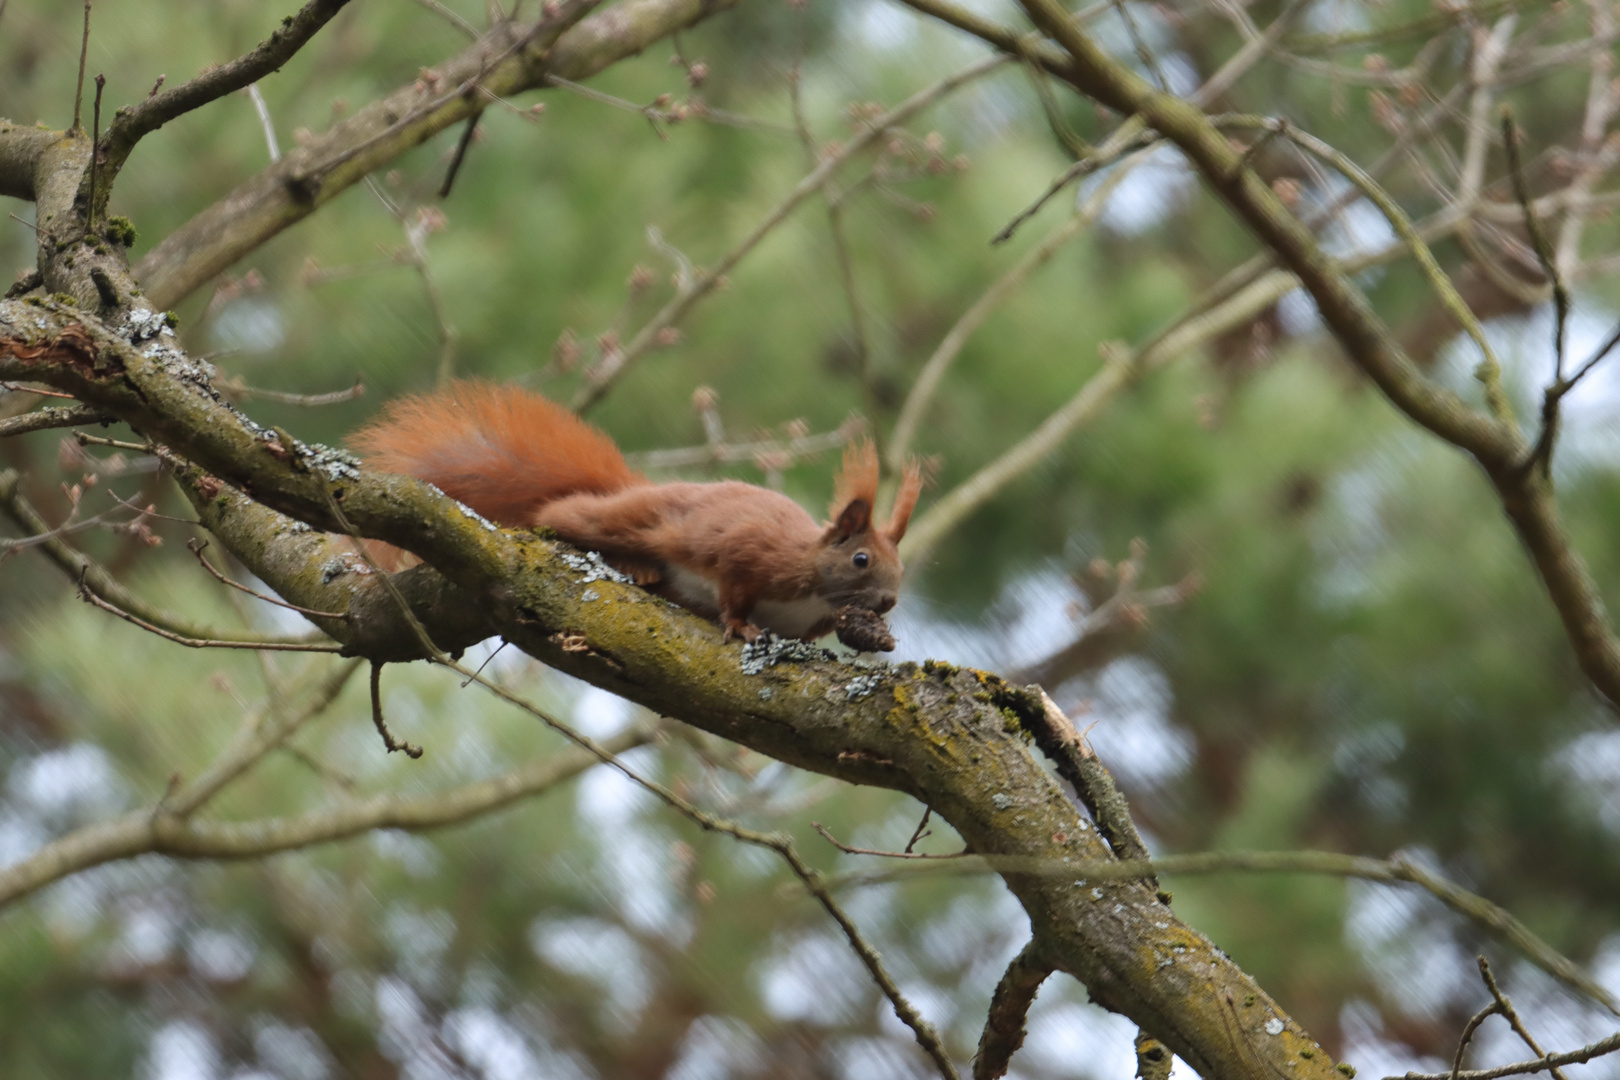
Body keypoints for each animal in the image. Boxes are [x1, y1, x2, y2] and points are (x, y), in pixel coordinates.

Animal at [348, 382, 920, 647]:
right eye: (862, 559)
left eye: (903, 569)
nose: (890, 602)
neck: (813, 587)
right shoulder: (751, 552)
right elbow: (735, 590)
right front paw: (741, 625)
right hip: (629, 520)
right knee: (566, 513)